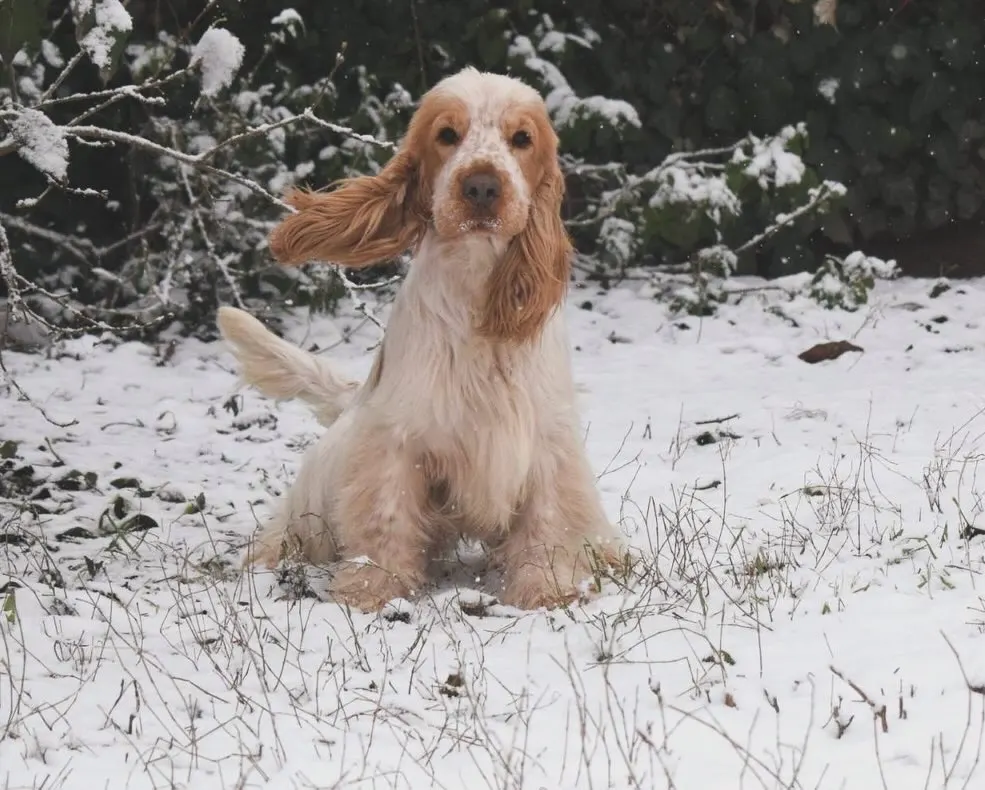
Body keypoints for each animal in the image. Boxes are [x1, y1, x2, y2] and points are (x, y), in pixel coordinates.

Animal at [220, 68, 628, 612]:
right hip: (317, 498)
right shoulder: (397, 440)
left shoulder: (546, 442)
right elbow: (385, 520)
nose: (481, 186)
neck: (474, 288)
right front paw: (370, 594)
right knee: (290, 531)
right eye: (447, 135)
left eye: (522, 139)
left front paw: (547, 591)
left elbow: (549, 522)